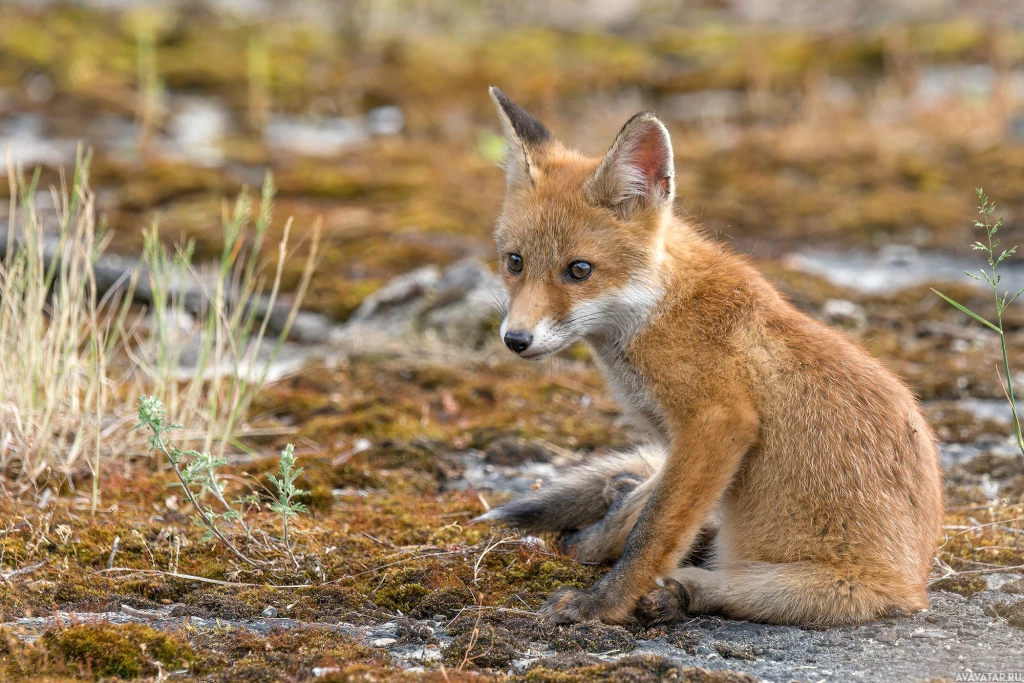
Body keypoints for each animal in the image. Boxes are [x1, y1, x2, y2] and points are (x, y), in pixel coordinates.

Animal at [475, 88, 946, 626]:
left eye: (579, 270)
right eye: (514, 262)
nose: (516, 339)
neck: (656, 311)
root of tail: (917, 584)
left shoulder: (717, 424)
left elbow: (652, 533)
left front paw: (604, 603)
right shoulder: (682, 446)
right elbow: (640, 508)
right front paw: (590, 542)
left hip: (825, 589)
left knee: (731, 584)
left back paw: (676, 593)